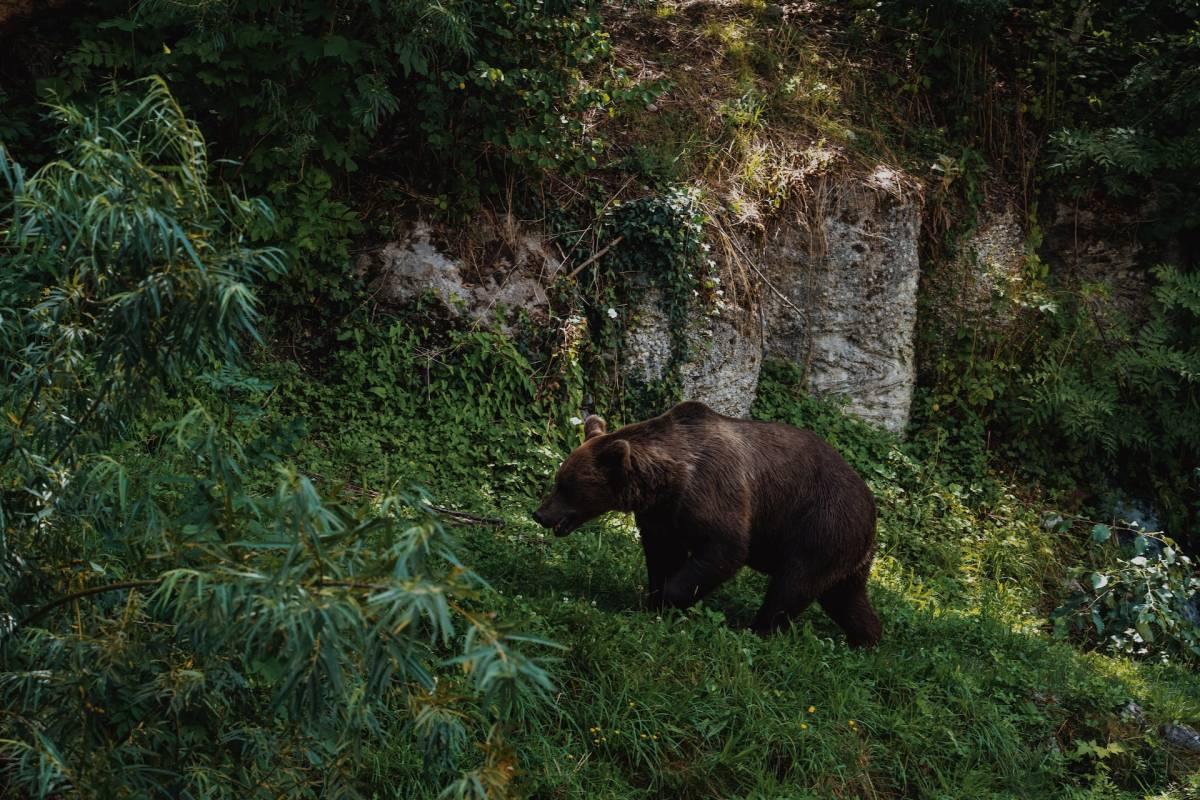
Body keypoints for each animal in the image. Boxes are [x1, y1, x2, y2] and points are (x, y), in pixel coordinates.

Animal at [535, 398, 883, 647]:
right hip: (844, 549)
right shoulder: (663, 514)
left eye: (567, 486)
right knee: (844, 596)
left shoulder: (712, 493)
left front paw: (668, 600)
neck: (667, 480)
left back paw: (756, 629)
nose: (540, 514)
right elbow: (662, 554)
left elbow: (724, 550)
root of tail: (871, 507)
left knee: (793, 583)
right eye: (559, 479)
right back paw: (865, 639)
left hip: (820, 524)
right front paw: (651, 601)